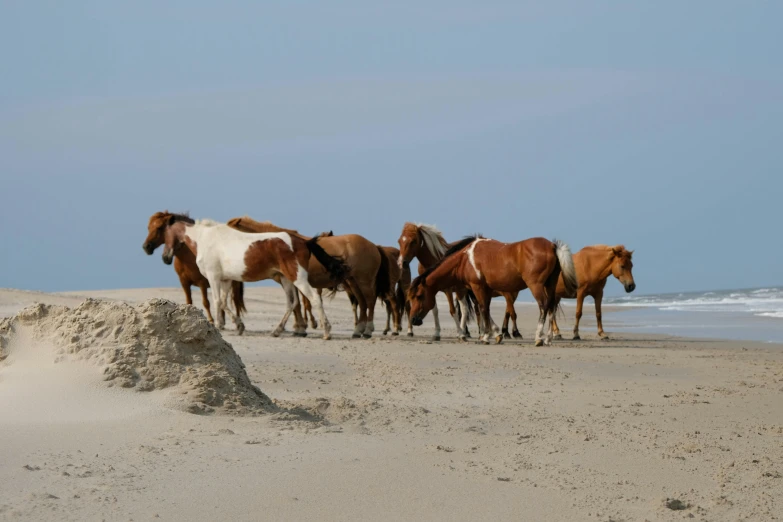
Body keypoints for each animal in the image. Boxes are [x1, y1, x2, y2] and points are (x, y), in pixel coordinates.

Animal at [152, 212, 348, 340]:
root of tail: (303, 242)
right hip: (286, 280)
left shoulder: (213, 277)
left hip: (297, 278)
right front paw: (238, 326)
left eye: (163, 230)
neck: (205, 239)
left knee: (314, 299)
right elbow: (224, 302)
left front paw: (218, 326)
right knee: (291, 303)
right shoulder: (226, 280)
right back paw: (277, 331)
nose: (165, 257)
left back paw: (326, 332)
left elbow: (217, 302)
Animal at [227, 215, 388, 338]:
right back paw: (357, 330)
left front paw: (300, 329)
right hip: (353, 282)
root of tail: (373, 246)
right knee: (363, 303)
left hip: (364, 281)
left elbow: (296, 305)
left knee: (370, 302)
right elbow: (296, 304)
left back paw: (367, 331)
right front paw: (300, 328)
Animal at [408, 236, 580, 346]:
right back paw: (549, 338)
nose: (413, 319)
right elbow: (486, 309)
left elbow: (483, 309)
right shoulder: (487, 289)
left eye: (419, 296)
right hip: (550, 285)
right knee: (550, 306)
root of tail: (552, 246)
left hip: (536, 285)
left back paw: (539, 337)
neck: (465, 259)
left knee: (543, 306)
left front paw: (485, 336)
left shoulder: (477, 286)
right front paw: (496, 334)